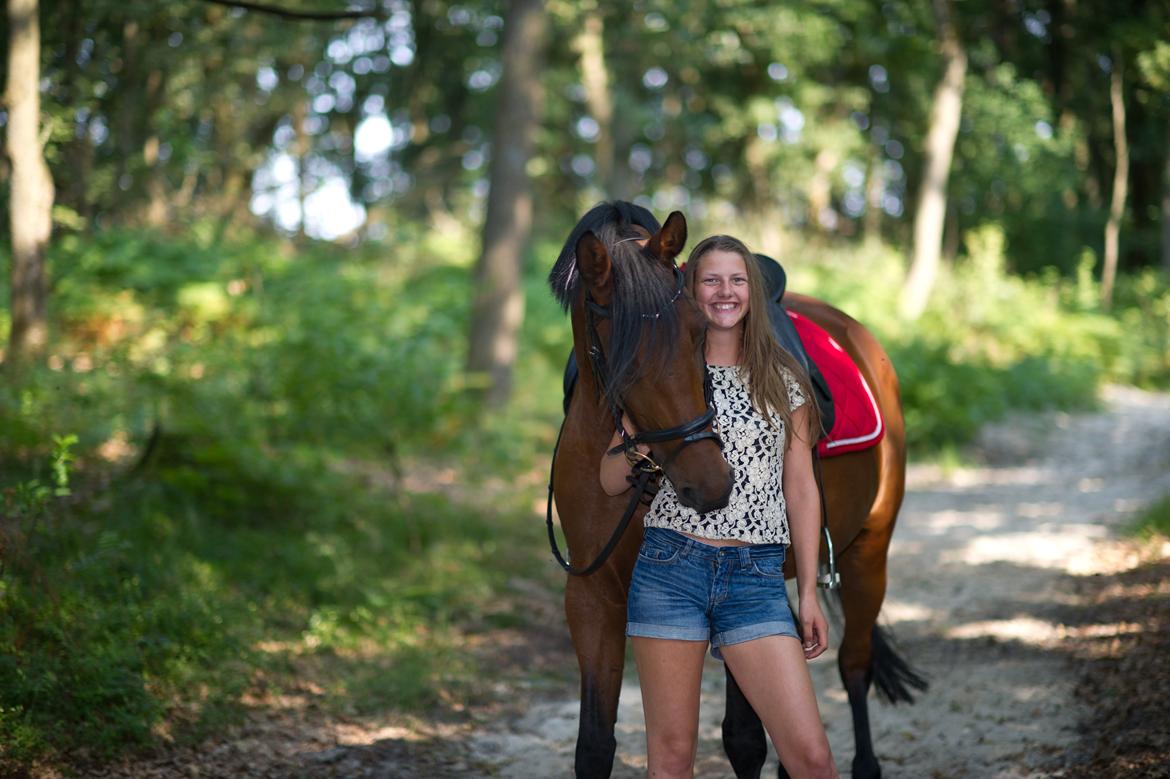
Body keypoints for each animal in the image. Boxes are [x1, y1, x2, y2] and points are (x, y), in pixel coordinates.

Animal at [547, 201, 921, 776]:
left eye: (697, 332)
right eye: (625, 357)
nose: (711, 482)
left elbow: (744, 738)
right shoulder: (591, 596)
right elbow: (593, 746)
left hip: (868, 552)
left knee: (854, 666)